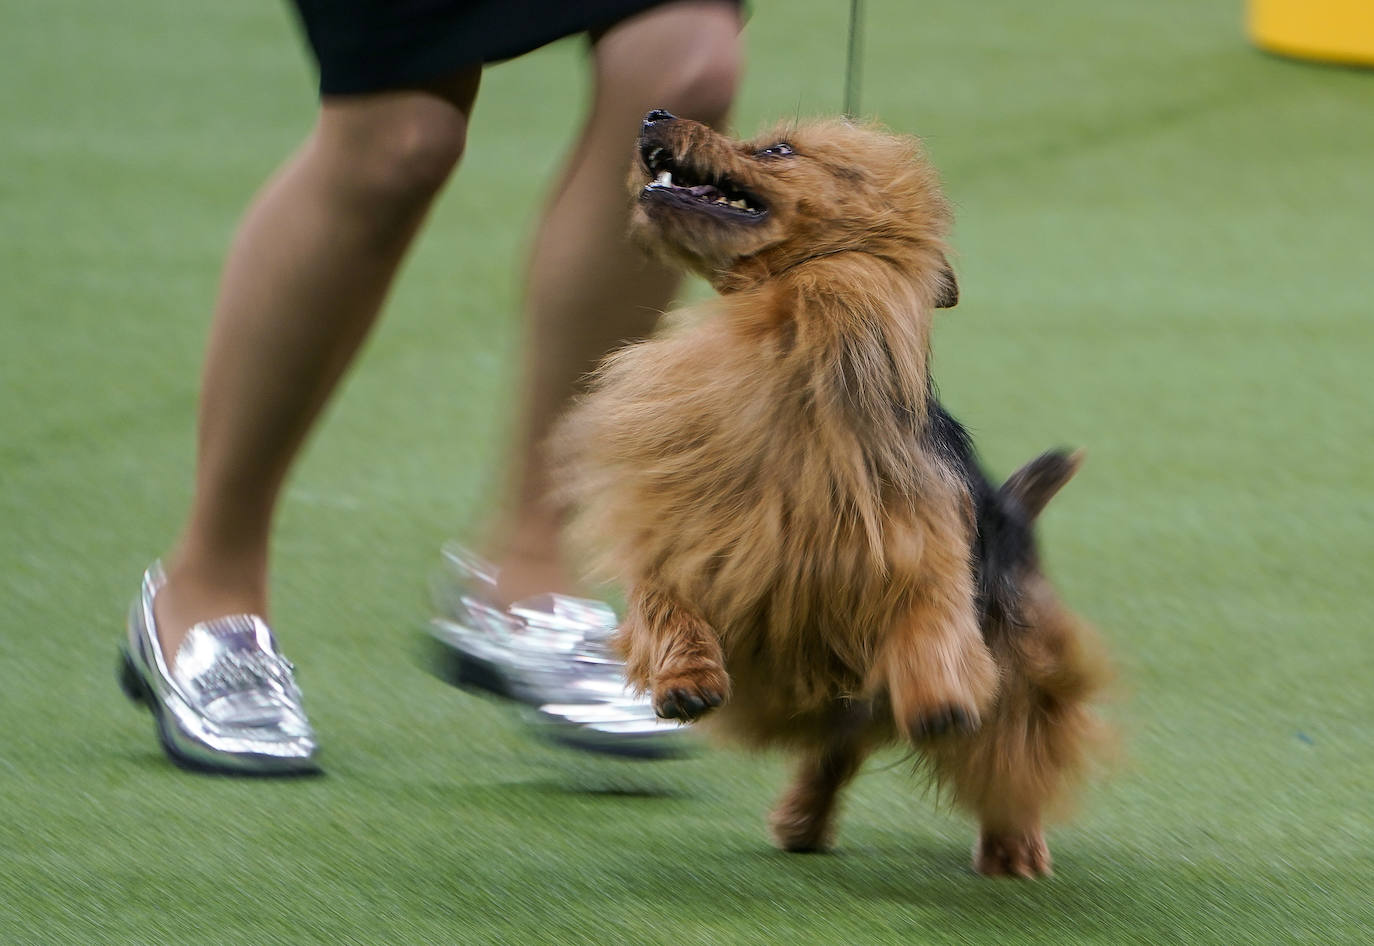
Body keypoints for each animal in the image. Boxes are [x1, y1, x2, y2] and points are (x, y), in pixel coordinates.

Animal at [555, 112, 1104, 878]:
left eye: (777, 150)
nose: (654, 116)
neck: (788, 335)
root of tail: (1014, 510)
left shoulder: (916, 550)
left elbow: (932, 614)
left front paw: (939, 693)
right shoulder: (691, 534)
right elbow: (664, 600)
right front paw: (685, 677)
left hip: (1023, 666)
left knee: (1012, 755)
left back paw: (1012, 844)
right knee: (839, 748)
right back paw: (802, 820)